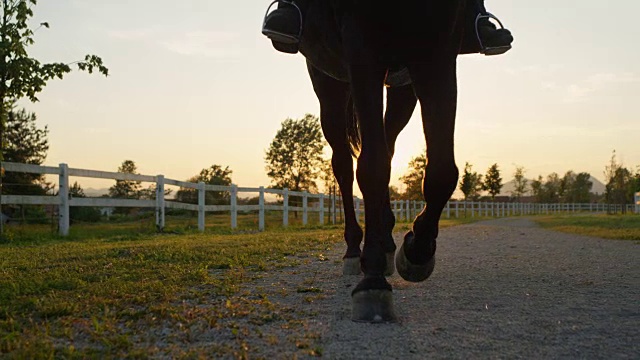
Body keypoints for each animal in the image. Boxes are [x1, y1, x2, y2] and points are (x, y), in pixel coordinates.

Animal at [296, 0, 464, 324]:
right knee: (344, 165)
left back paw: (387, 241)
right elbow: (372, 166)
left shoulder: (437, 47)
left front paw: (416, 251)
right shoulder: (362, 45)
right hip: (329, 83)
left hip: (401, 86)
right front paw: (372, 278)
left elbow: (442, 171)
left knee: (388, 143)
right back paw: (353, 250)